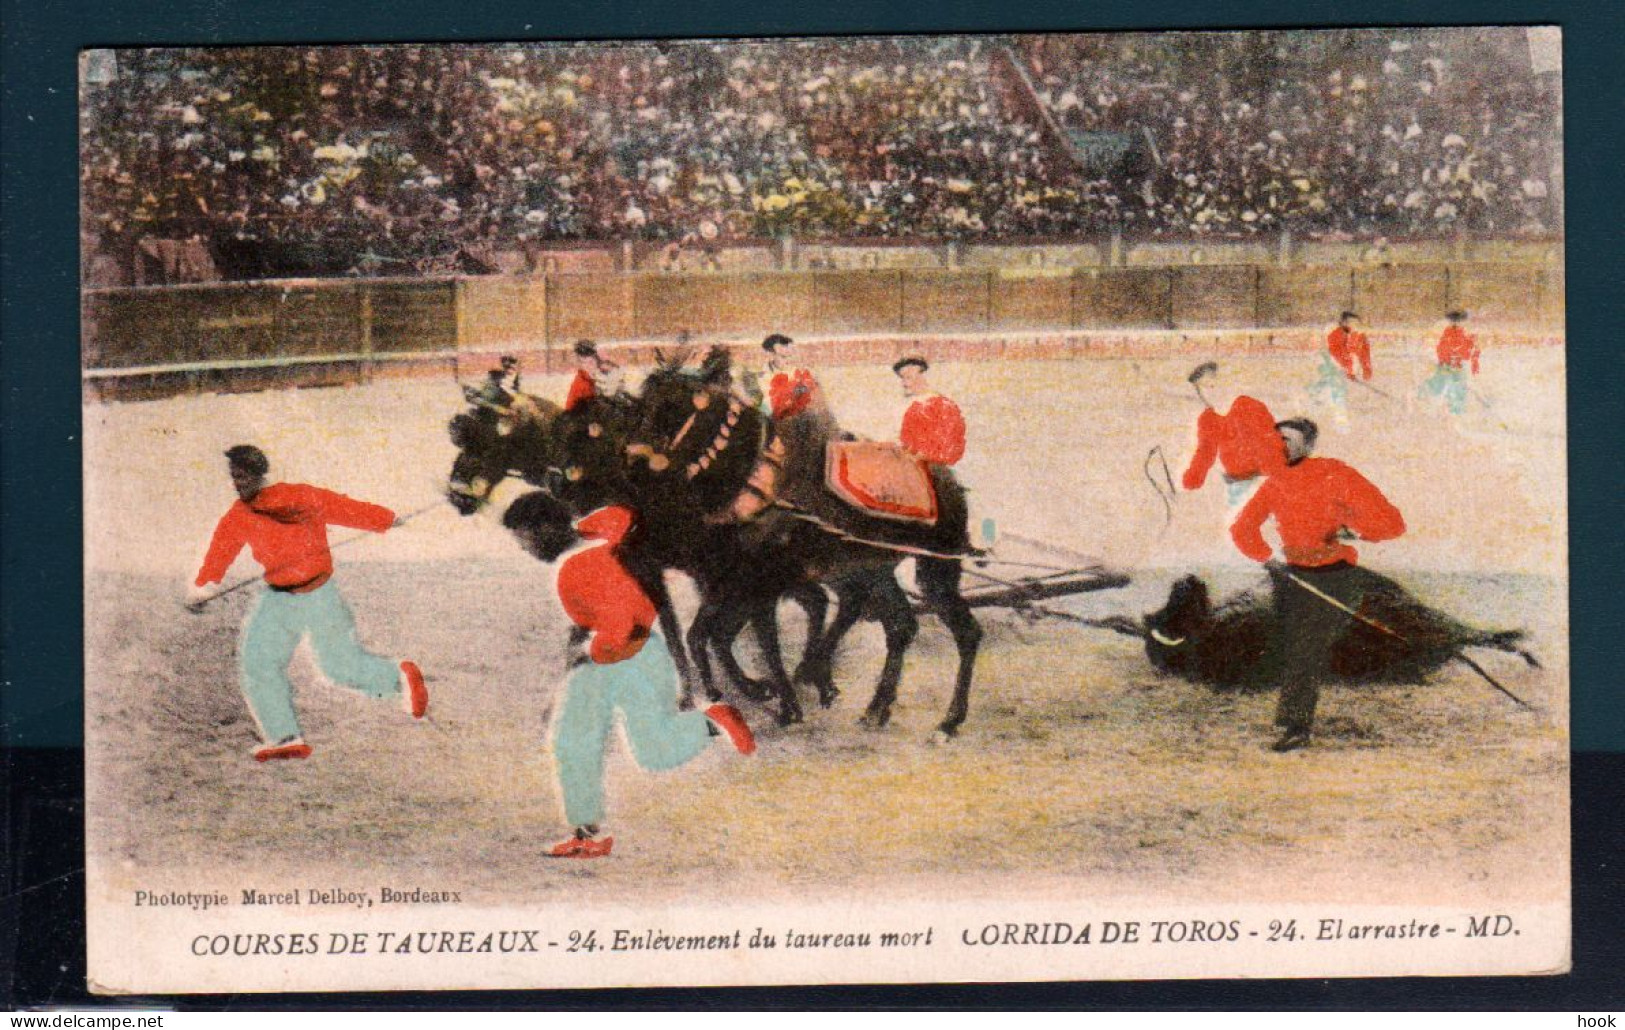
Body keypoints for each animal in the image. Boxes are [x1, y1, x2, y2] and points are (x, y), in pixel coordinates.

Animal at [1092, 568, 1534, 688]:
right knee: (1458, 636)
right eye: (1170, 614)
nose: (1187, 579)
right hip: (1416, 624)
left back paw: (1514, 640)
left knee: (1466, 633)